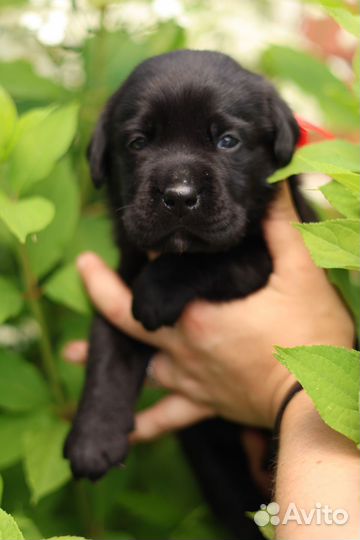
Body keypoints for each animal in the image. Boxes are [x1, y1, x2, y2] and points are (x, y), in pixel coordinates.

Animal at [64, 49, 310, 536]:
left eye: (228, 141)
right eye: (137, 143)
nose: (178, 196)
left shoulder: (256, 261)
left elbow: (208, 258)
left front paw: (155, 293)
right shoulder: (120, 280)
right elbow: (108, 348)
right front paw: (93, 437)